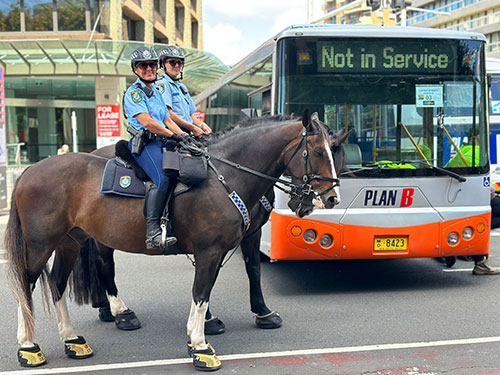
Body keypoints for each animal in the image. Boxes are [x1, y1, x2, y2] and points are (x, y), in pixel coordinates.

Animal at [70, 119, 350, 334]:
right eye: (318, 152)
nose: (332, 198)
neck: (226, 176)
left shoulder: (241, 237)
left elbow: (245, 272)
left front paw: (256, 313)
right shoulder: (210, 246)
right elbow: (205, 284)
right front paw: (208, 323)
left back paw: (107, 310)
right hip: (104, 237)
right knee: (105, 265)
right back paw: (121, 312)